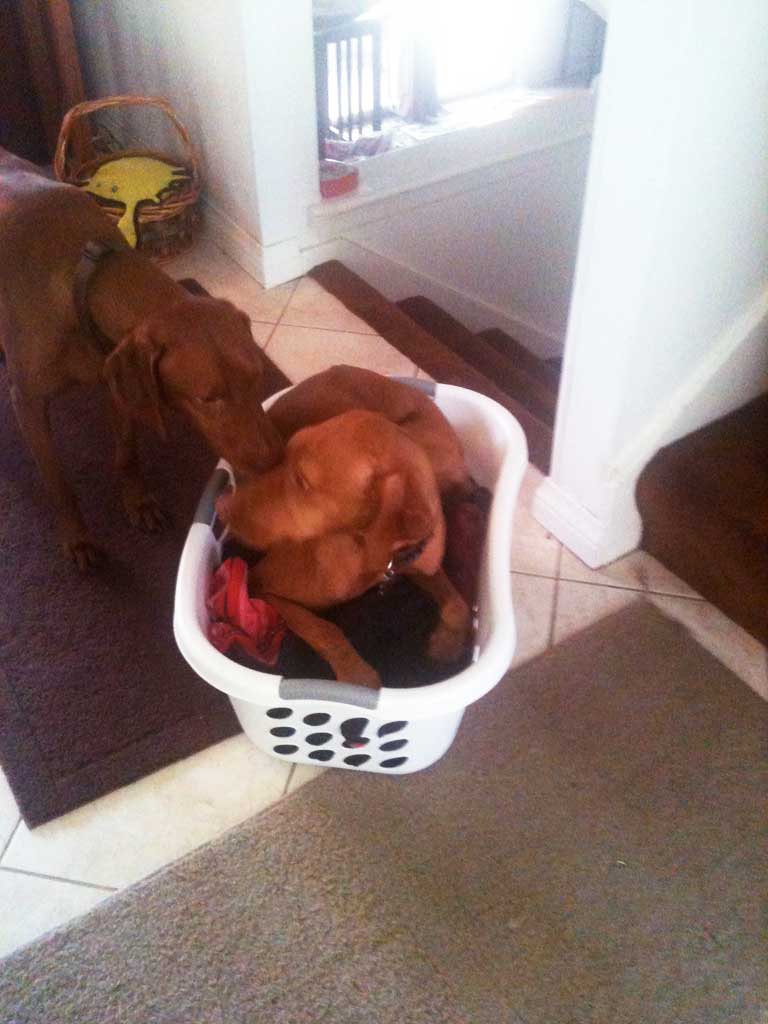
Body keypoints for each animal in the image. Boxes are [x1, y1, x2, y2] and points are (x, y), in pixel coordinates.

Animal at [0, 148, 283, 568]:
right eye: (208, 399)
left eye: (258, 379)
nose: (276, 461)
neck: (84, 280)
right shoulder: (28, 403)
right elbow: (58, 482)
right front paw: (78, 537)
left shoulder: (116, 378)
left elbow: (127, 453)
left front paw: (138, 502)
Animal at [216, 368, 476, 687]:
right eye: (286, 454)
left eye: (302, 481)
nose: (221, 506)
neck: (367, 556)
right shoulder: (262, 583)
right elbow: (323, 629)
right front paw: (356, 673)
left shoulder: (418, 560)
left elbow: (458, 604)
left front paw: (447, 643)